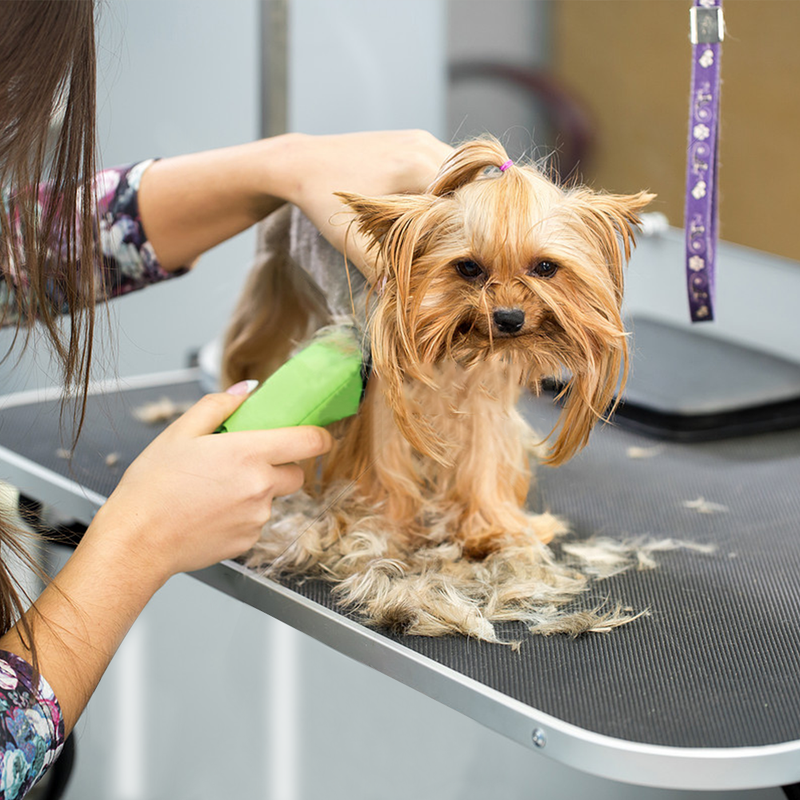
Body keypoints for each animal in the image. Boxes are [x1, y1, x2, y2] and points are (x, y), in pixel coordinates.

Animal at [223, 136, 656, 636]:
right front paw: (386, 532)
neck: (460, 346)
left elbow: (482, 460)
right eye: (468, 267)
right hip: (276, 277)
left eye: (546, 267)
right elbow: (386, 461)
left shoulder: (486, 392)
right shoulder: (383, 390)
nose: (509, 319)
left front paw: (489, 530)